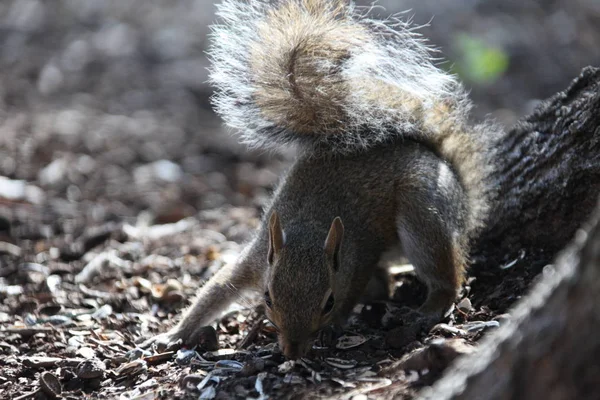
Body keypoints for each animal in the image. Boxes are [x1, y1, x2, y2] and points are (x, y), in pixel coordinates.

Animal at [141, 0, 496, 360]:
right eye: (267, 298)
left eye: (328, 302)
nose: (293, 350)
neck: (310, 229)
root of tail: (452, 177)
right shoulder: (255, 261)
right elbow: (215, 290)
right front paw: (174, 333)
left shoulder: (358, 260)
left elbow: (354, 290)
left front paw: (335, 325)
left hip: (424, 209)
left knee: (445, 274)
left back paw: (430, 305)